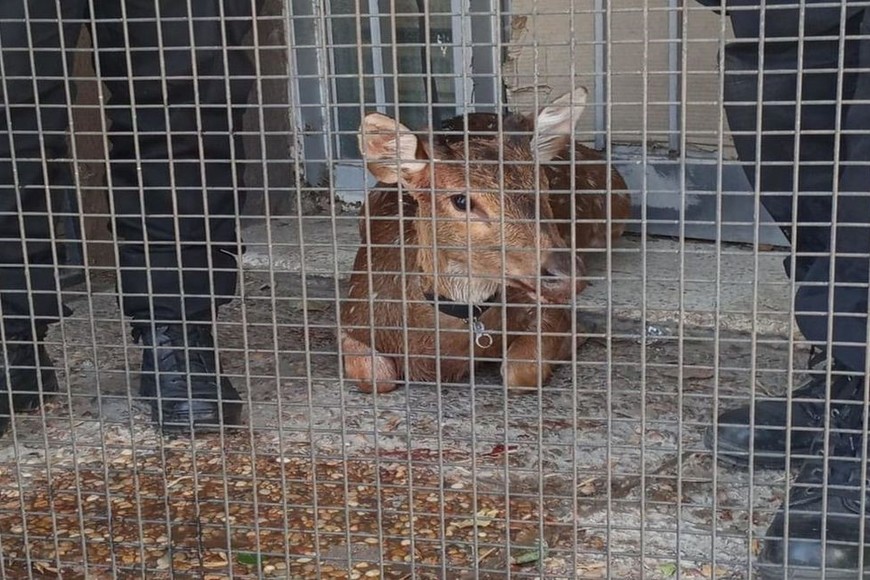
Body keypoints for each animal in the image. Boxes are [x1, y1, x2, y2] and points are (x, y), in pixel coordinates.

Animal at [339, 87, 631, 394]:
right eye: (461, 200)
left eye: (544, 185)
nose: (566, 274)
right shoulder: (353, 316)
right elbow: (375, 377)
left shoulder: (549, 310)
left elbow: (520, 371)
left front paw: (579, 335)